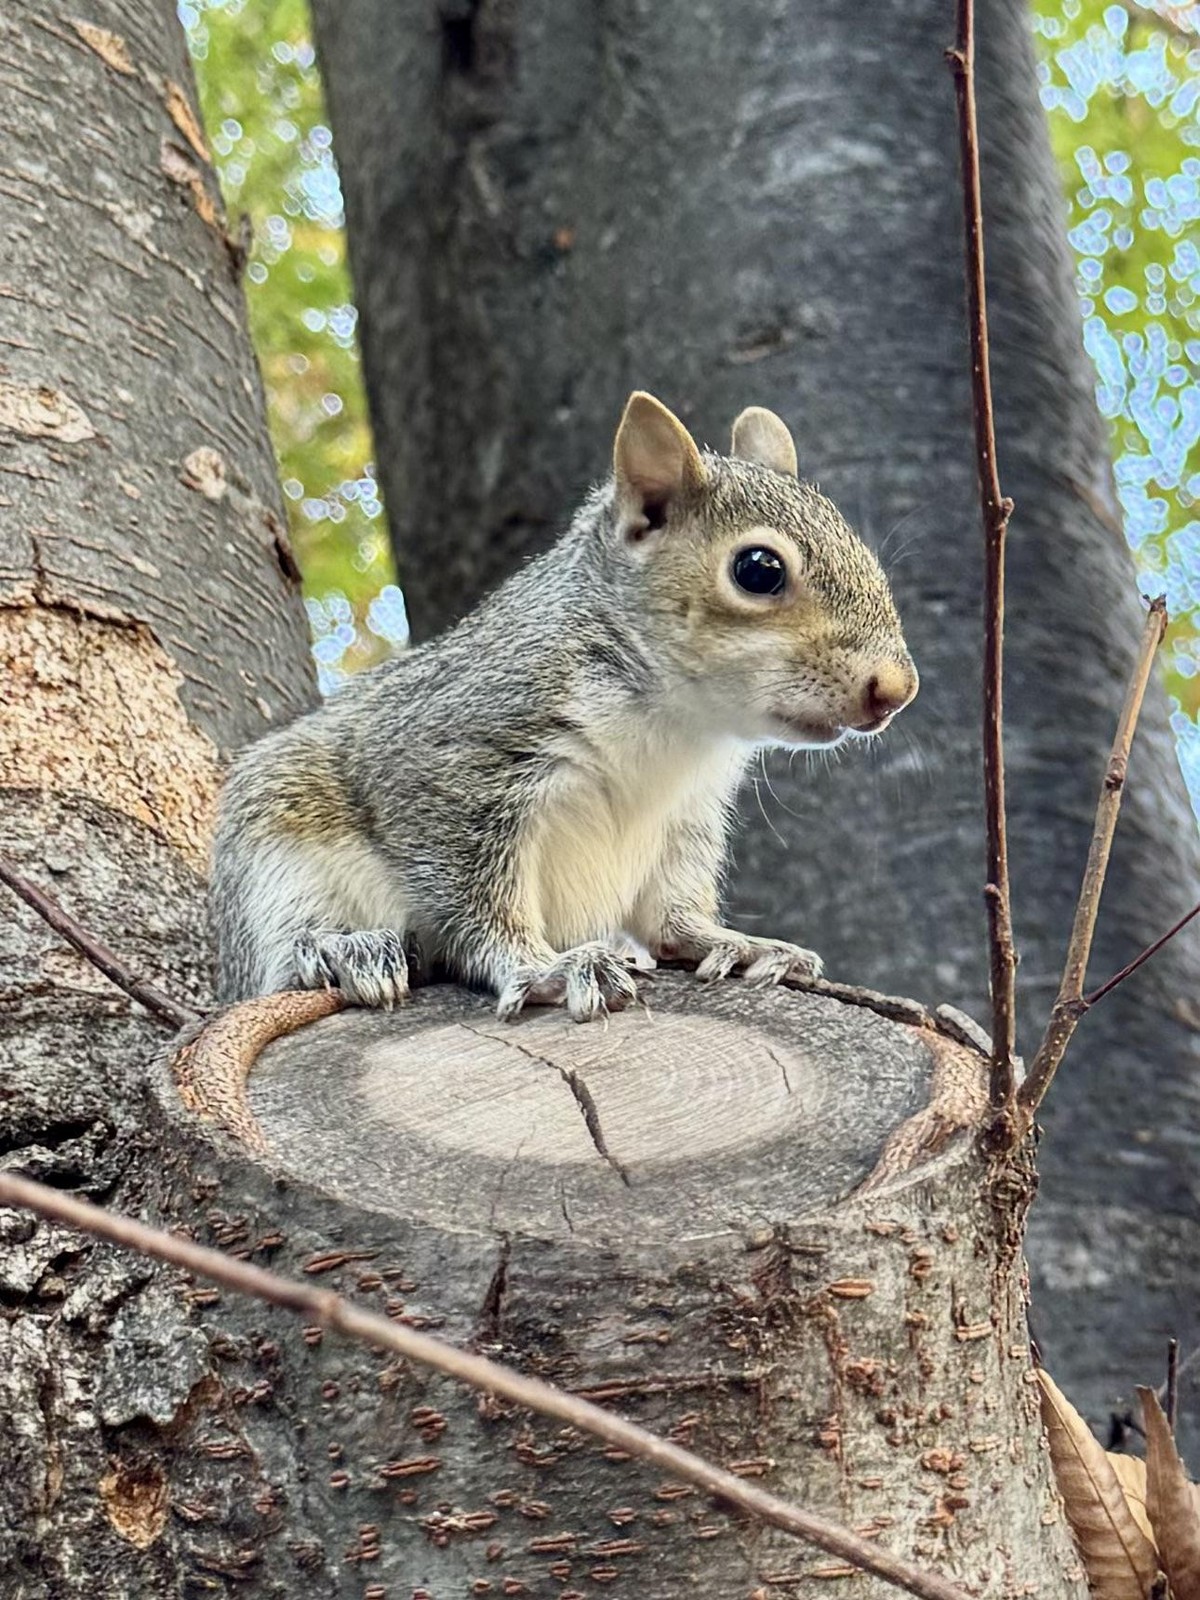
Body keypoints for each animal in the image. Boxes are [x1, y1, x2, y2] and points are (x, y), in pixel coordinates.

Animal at [211, 392, 918, 1023]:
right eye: (759, 569)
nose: (897, 690)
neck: (678, 723)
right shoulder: (452, 764)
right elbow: (477, 898)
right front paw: (540, 966)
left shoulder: (686, 816)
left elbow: (671, 912)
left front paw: (732, 943)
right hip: (275, 850)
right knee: (283, 949)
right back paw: (341, 947)